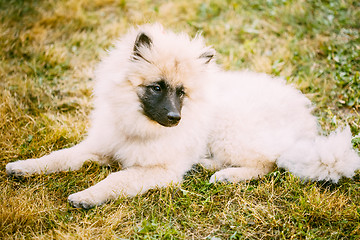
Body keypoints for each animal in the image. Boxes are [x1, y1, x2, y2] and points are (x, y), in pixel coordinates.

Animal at [6, 23, 360, 209]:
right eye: (157, 88)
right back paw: (208, 165)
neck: (139, 126)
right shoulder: (97, 147)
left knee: (268, 164)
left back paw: (226, 175)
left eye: (182, 93)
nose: (176, 118)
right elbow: (58, 157)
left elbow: (116, 179)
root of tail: (306, 126)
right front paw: (24, 167)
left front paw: (87, 196)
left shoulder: (158, 170)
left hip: (230, 129)